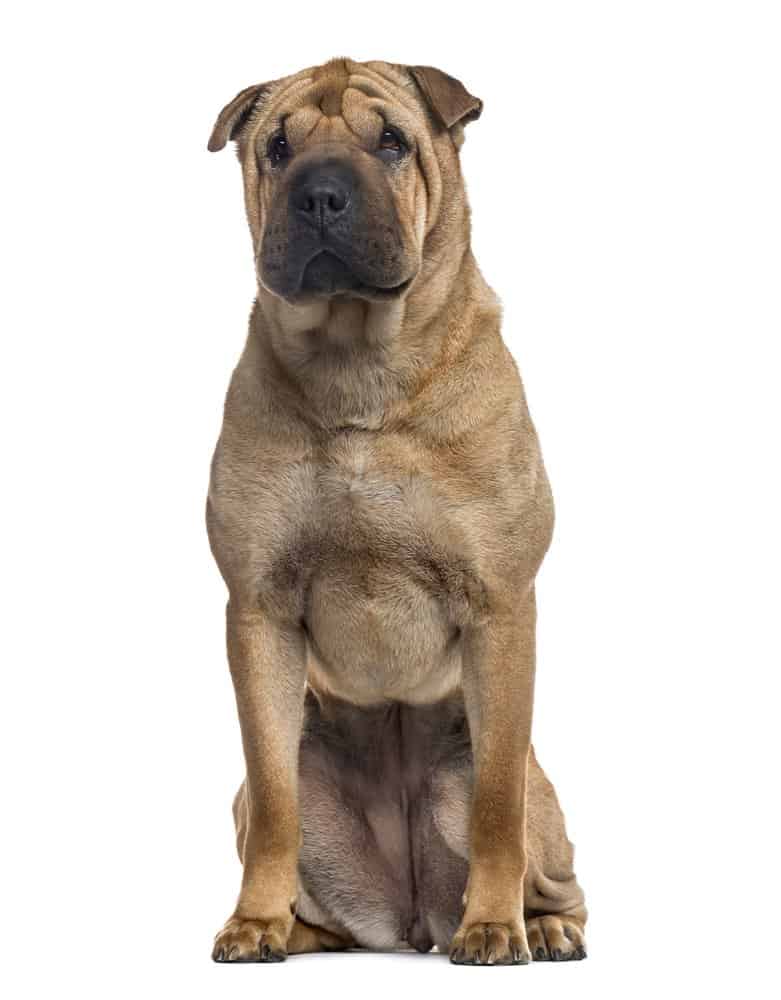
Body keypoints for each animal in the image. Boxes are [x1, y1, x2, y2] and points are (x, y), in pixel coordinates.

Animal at [207, 58, 584, 964]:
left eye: (390, 142)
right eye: (277, 149)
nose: (319, 195)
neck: (358, 374)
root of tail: (412, 921)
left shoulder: (499, 607)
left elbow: (494, 805)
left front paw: (494, 927)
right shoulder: (258, 611)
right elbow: (274, 802)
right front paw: (254, 922)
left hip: (519, 802)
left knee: (553, 867)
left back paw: (543, 926)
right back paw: (293, 930)